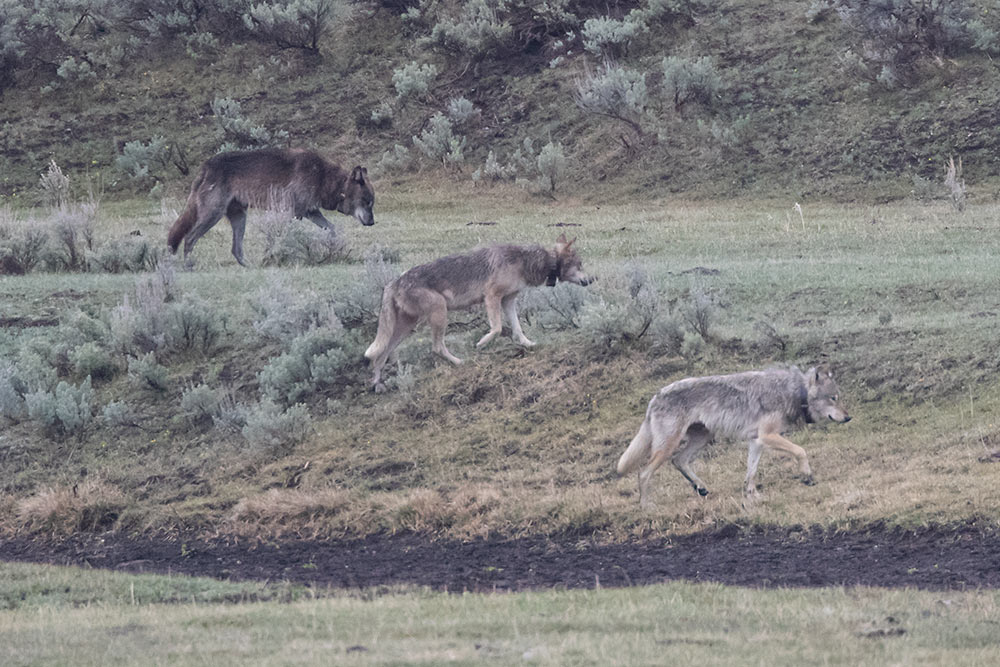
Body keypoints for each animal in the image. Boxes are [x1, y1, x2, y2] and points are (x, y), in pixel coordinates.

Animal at [166, 149, 374, 266]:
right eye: (367, 201)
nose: (372, 222)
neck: (323, 177)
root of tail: (205, 166)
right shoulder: (289, 213)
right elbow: (277, 239)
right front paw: (272, 257)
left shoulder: (309, 212)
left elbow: (332, 229)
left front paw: (336, 248)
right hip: (213, 215)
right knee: (189, 238)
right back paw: (189, 264)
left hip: (239, 218)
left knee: (235, 250)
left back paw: (251, 266)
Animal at [364, 234, 592, 392]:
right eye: (580, 265)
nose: (591, 280)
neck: (528, 260)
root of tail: (393, 282)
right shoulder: (492, 297)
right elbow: (497, 329)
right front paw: (481, 343)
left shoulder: (508, 301)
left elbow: (518, 329)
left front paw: (529, 344)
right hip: (439, 314)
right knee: (436, 348)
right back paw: (460, 362)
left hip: (406, 328)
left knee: (380, 356)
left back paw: (377, 384)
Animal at [616, 366, 852, 506]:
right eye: (833, 398)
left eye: (839, 397)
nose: (849, 417)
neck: (794, 393)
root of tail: (654, 398)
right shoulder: (767, 436)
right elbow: (801, 451)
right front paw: (807, 476)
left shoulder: (756, 441)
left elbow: (751, 473)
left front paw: (752, 496)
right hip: (668, 446)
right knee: (644, 472)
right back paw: (646, 506)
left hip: (702, 438)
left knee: (679, 460)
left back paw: (701, 488)